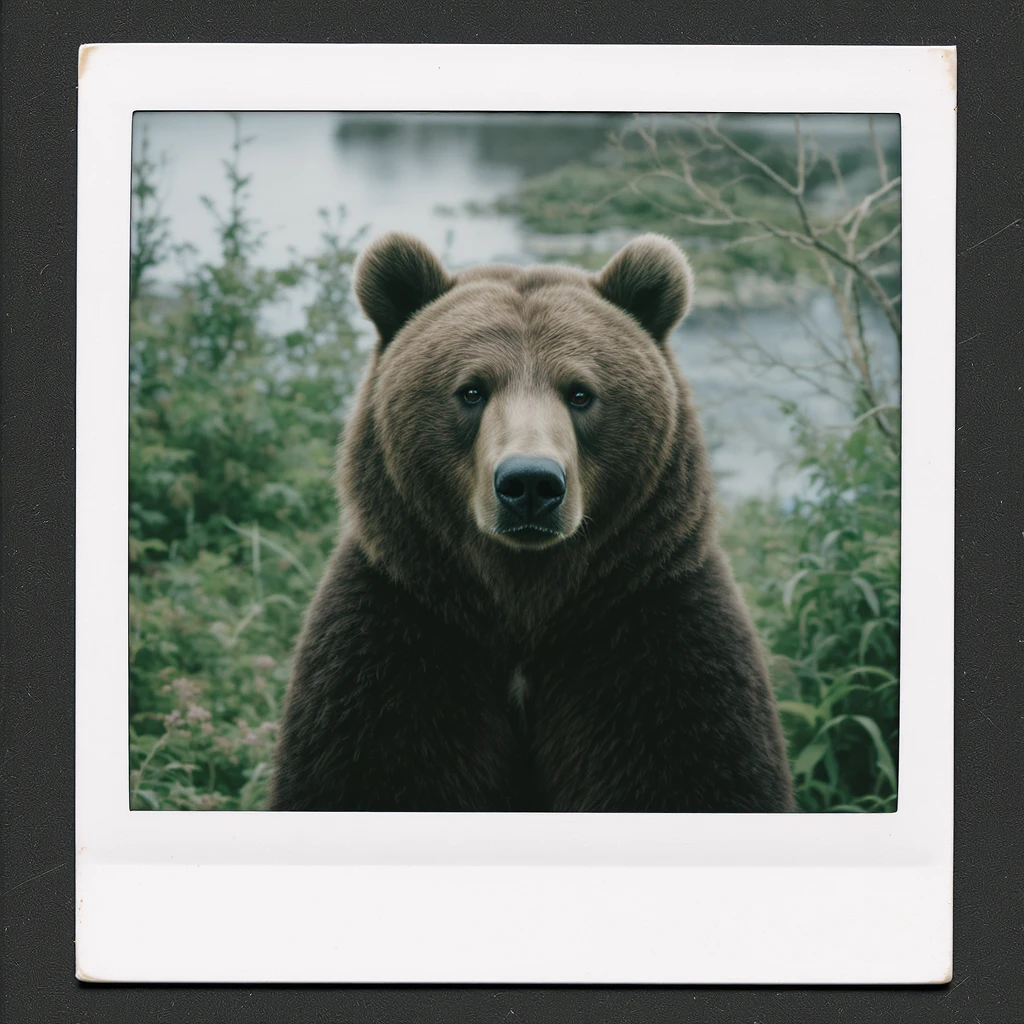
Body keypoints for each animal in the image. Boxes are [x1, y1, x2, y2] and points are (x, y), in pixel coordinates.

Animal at [268, 232, 795, 813]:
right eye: (472, 389)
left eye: (580, 391)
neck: (524, 610)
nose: (530, 483)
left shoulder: (654, 631)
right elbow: (362, 767)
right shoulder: (399, 634)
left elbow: (696, 768)